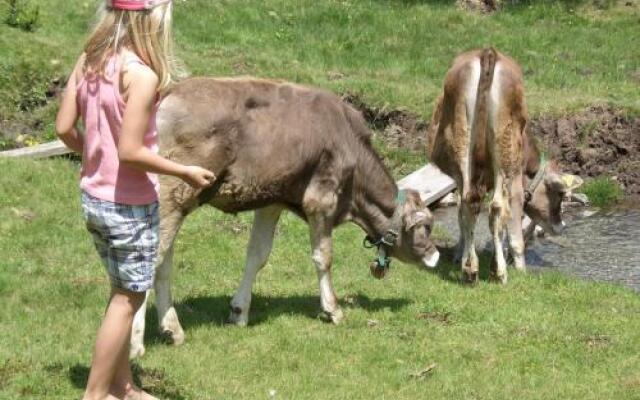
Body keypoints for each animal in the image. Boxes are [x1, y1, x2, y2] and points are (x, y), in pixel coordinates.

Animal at [130, 77, 440, 356]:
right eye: (426, 225)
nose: (435, 256)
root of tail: (171, 91)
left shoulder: (272, 201)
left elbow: (257, 255)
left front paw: (239, 311)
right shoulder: (321, 200)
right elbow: (323, 257)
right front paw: (333, 309)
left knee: (164, 262)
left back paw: (172, 329)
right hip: (172, 195)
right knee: (152, 260)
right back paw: (135, 344)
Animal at [428, 47, 584, 284]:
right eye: (560, 194)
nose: (561, 226)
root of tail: (487, 52)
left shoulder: (458, 176)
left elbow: (461, 215)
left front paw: (459, 254)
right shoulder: (517, 181)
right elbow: (514, 229)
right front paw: (520, 267)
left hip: (462, 135)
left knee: (469, 203)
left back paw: (470, 269)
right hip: (506, 148)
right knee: (497, 207)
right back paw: (499, 272)